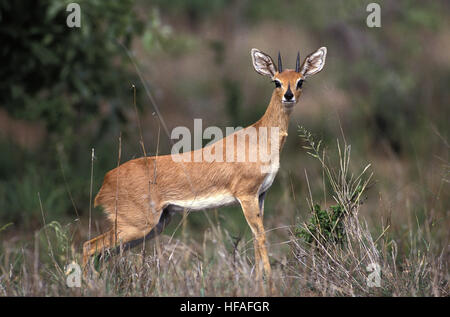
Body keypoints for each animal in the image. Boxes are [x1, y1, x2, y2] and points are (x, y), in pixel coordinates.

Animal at [82, 45, 326, 290]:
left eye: (300, 81)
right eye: (276, 81)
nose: (288, 95)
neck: (261, 137)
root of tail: (106, 181)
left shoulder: (261, 195)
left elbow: (257, 239)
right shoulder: (246, 195)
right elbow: (261, 236)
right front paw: (270, 284)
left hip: (153, 225)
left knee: (101, 253)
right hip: (136, 225)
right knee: (88, 247)